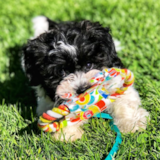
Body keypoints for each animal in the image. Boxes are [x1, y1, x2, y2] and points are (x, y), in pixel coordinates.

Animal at [21, 16, 149, 141]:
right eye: (62, 72)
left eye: (89, 64)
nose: (83, 89)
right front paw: (67, 134)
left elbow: (123, 100)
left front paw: (130, 123)